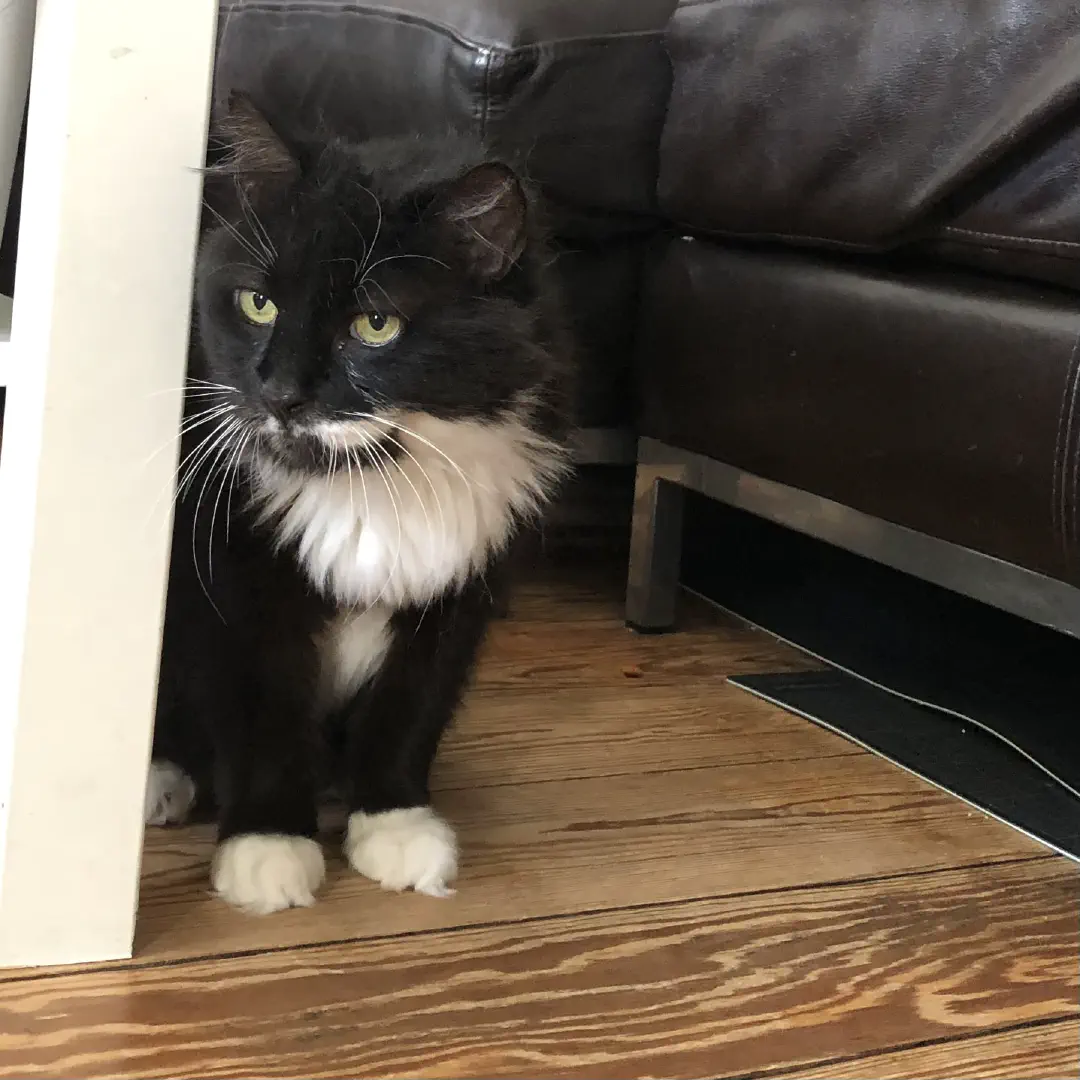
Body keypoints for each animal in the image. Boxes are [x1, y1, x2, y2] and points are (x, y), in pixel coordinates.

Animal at [150, 97, 583, 915]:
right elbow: (261, 719)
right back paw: (162, 783)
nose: (281, 394)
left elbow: (407, 717)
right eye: (259, 303)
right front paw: (267, 846)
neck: (372, 483)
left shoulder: (454, 601)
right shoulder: (237, 596)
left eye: (375, 325)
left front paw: (395, 827)